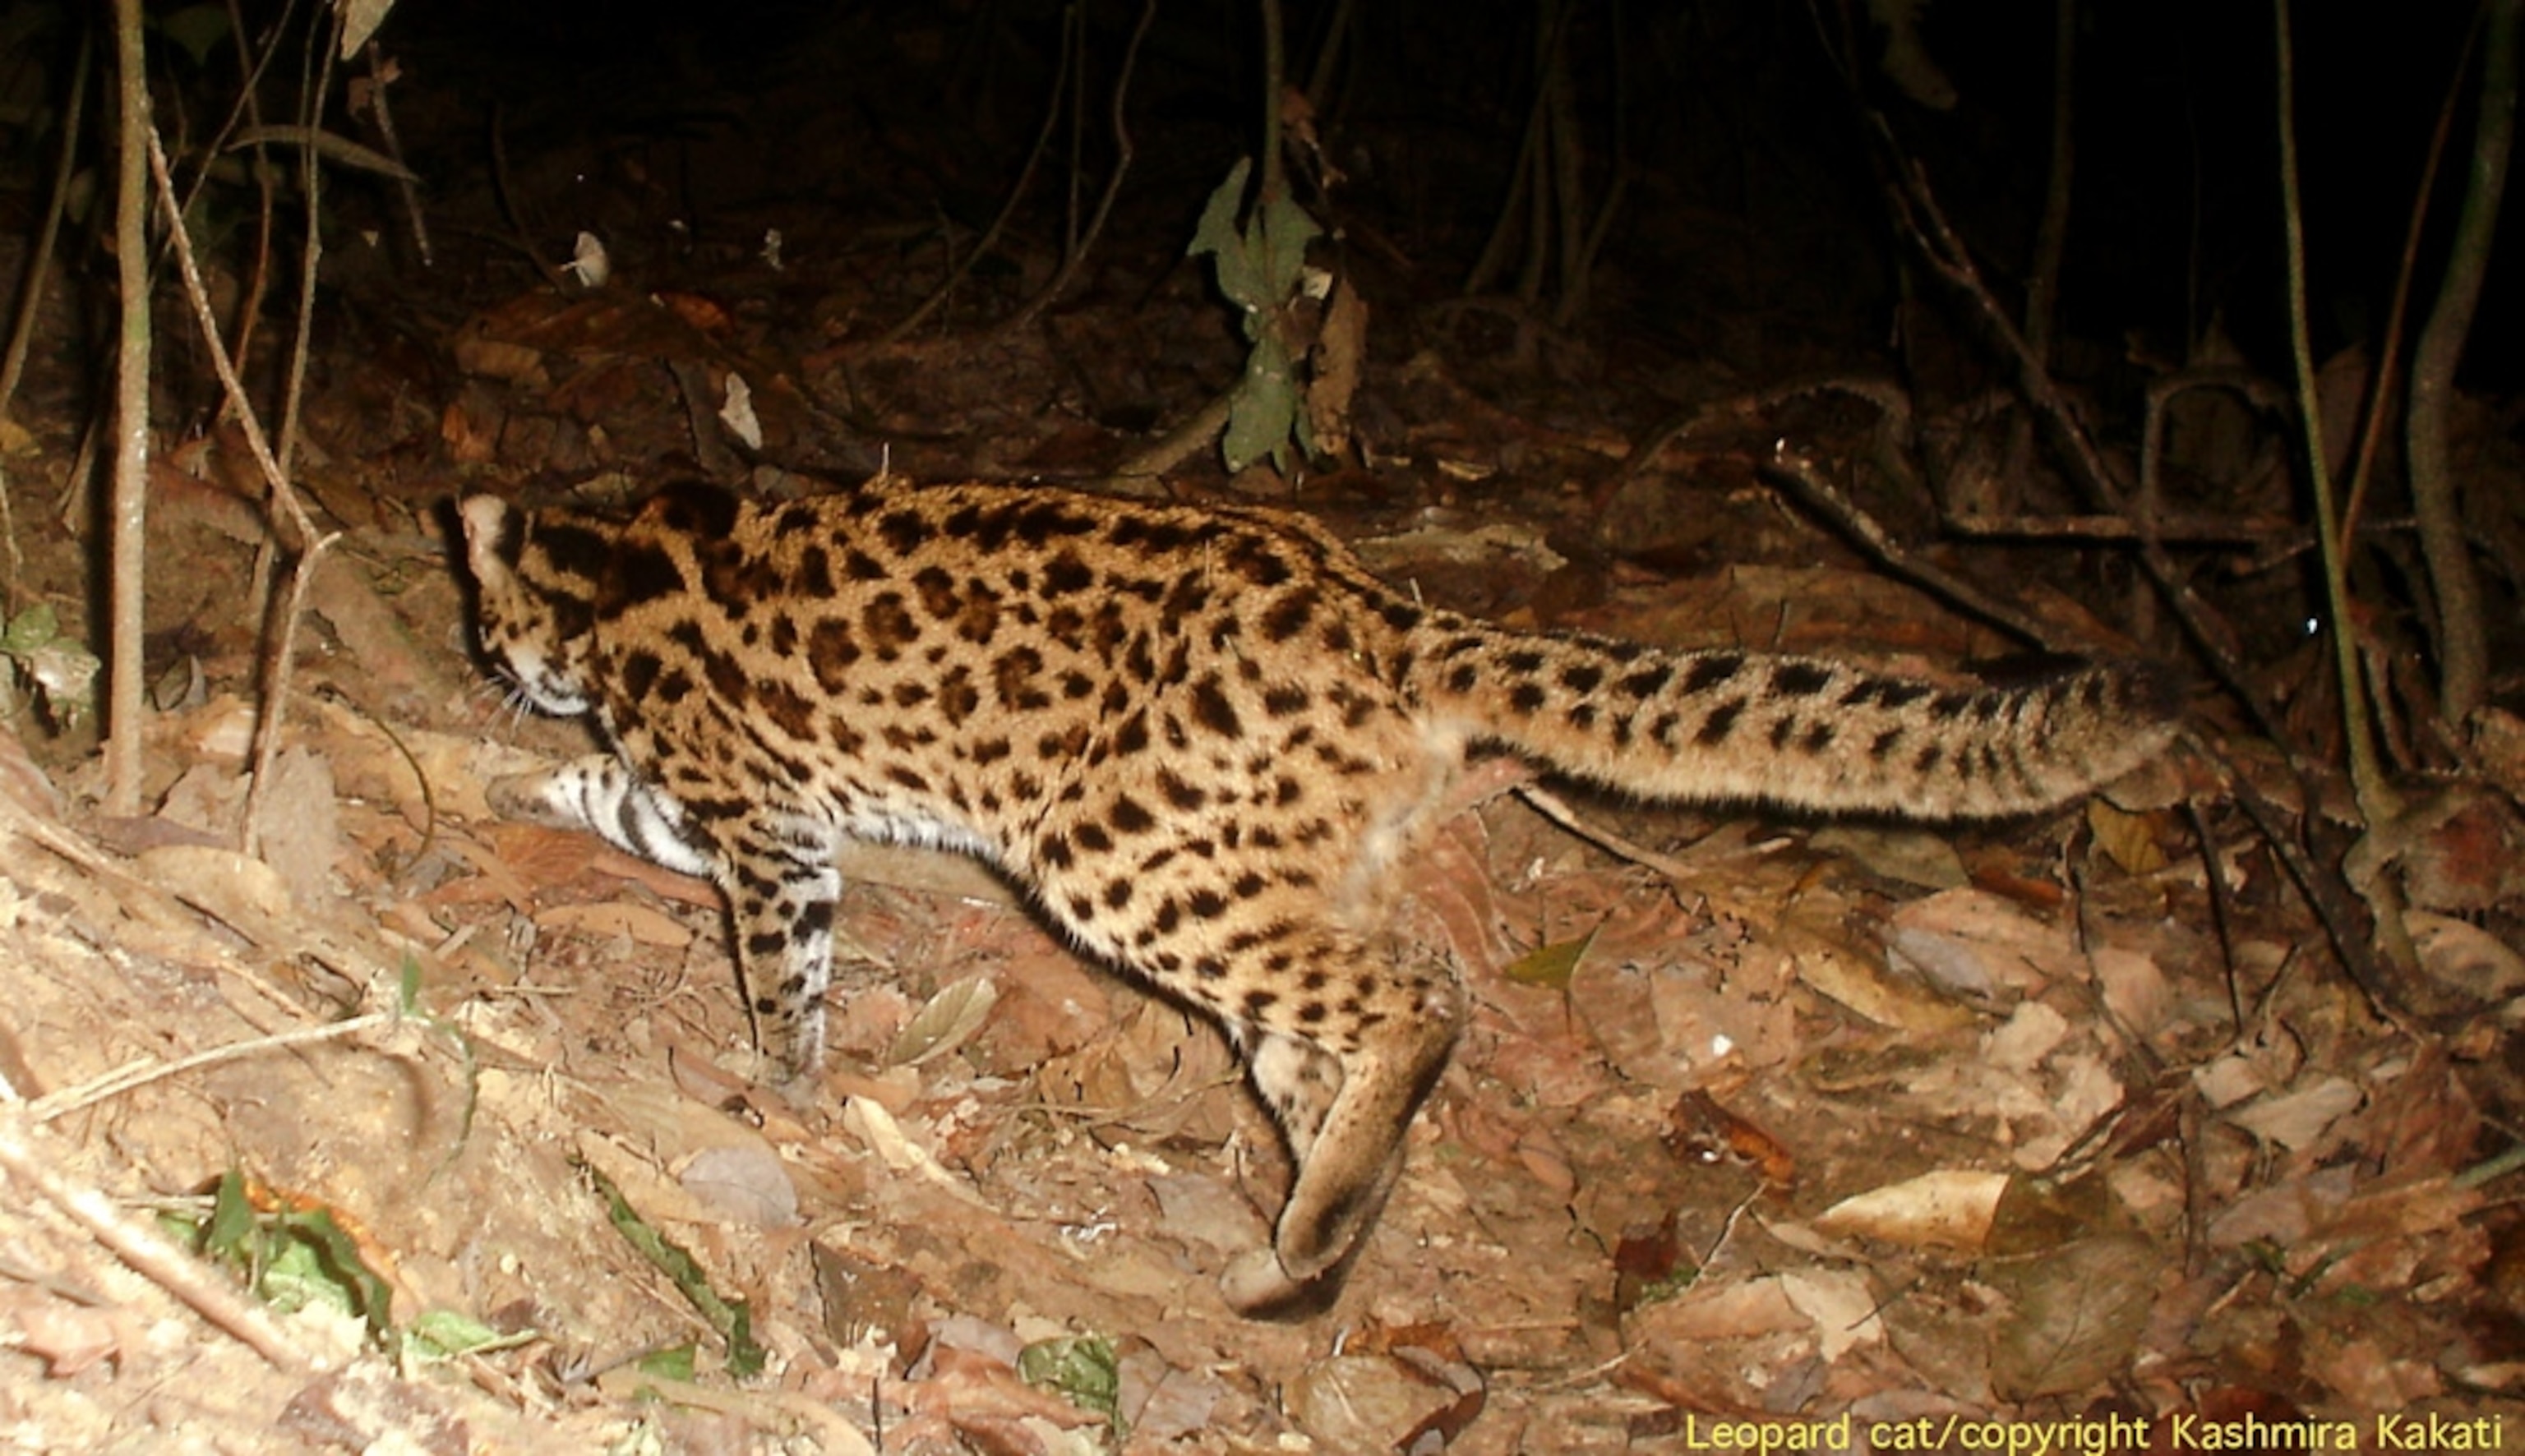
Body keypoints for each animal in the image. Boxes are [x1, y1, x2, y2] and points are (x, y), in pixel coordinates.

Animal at [455, 477, 2181, 1316]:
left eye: (487, 616)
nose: (495, 665)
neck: (611, 562)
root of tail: (1387, 618)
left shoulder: (767, 825)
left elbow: (770, 952)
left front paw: (775, 1077)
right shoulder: (742, 805)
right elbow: (625, 806)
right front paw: (514, 785)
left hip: (1124, 856)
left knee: (1422, 991)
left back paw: (1316, 1224)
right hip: (1263, 873)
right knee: (1351, 1044)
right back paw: (1312, 1240)